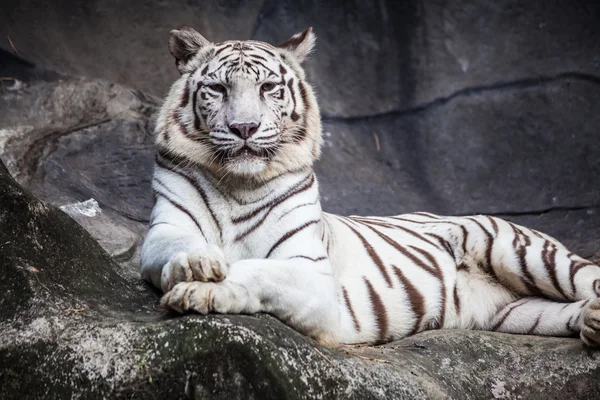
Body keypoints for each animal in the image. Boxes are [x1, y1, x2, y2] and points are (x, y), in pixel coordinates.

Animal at [138, 26, 600, 346]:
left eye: (268, 88)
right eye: (217, 89)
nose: (244, 128)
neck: (239, 182)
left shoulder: (311, 273)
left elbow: (256, 269)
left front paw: (203, 289)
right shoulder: (164, 229)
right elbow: (177, 247)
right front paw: (197, 266)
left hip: (518, 249)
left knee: (587, 276)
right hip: (516, 313)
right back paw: (592, 323)